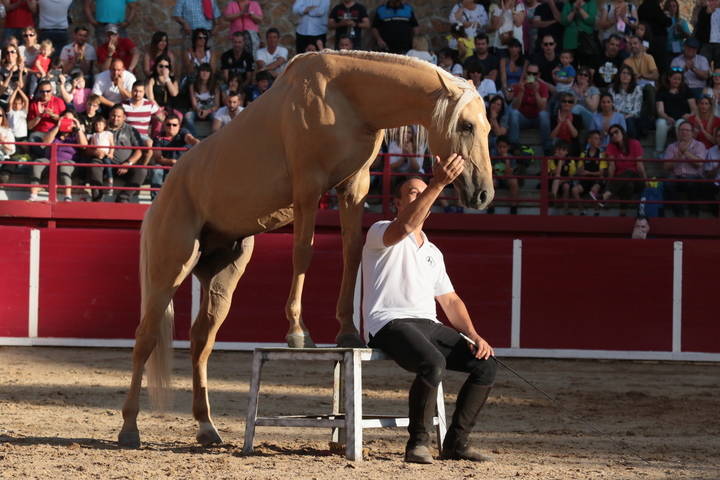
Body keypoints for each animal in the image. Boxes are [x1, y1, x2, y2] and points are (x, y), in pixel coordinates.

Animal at [118, 50, 494, 448]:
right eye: (466, 126)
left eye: (487, 128)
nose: (484, 194)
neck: (345, 96)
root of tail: (164, 195)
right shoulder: (308, 189)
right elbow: (303, 252)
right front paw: (298, 331)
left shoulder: (354, 187)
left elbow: (351, 253)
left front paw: (347, 331)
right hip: (170, 270)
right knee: (144, 339)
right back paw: (130, 429)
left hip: (222, 277)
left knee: (200, 342)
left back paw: (207, 427)